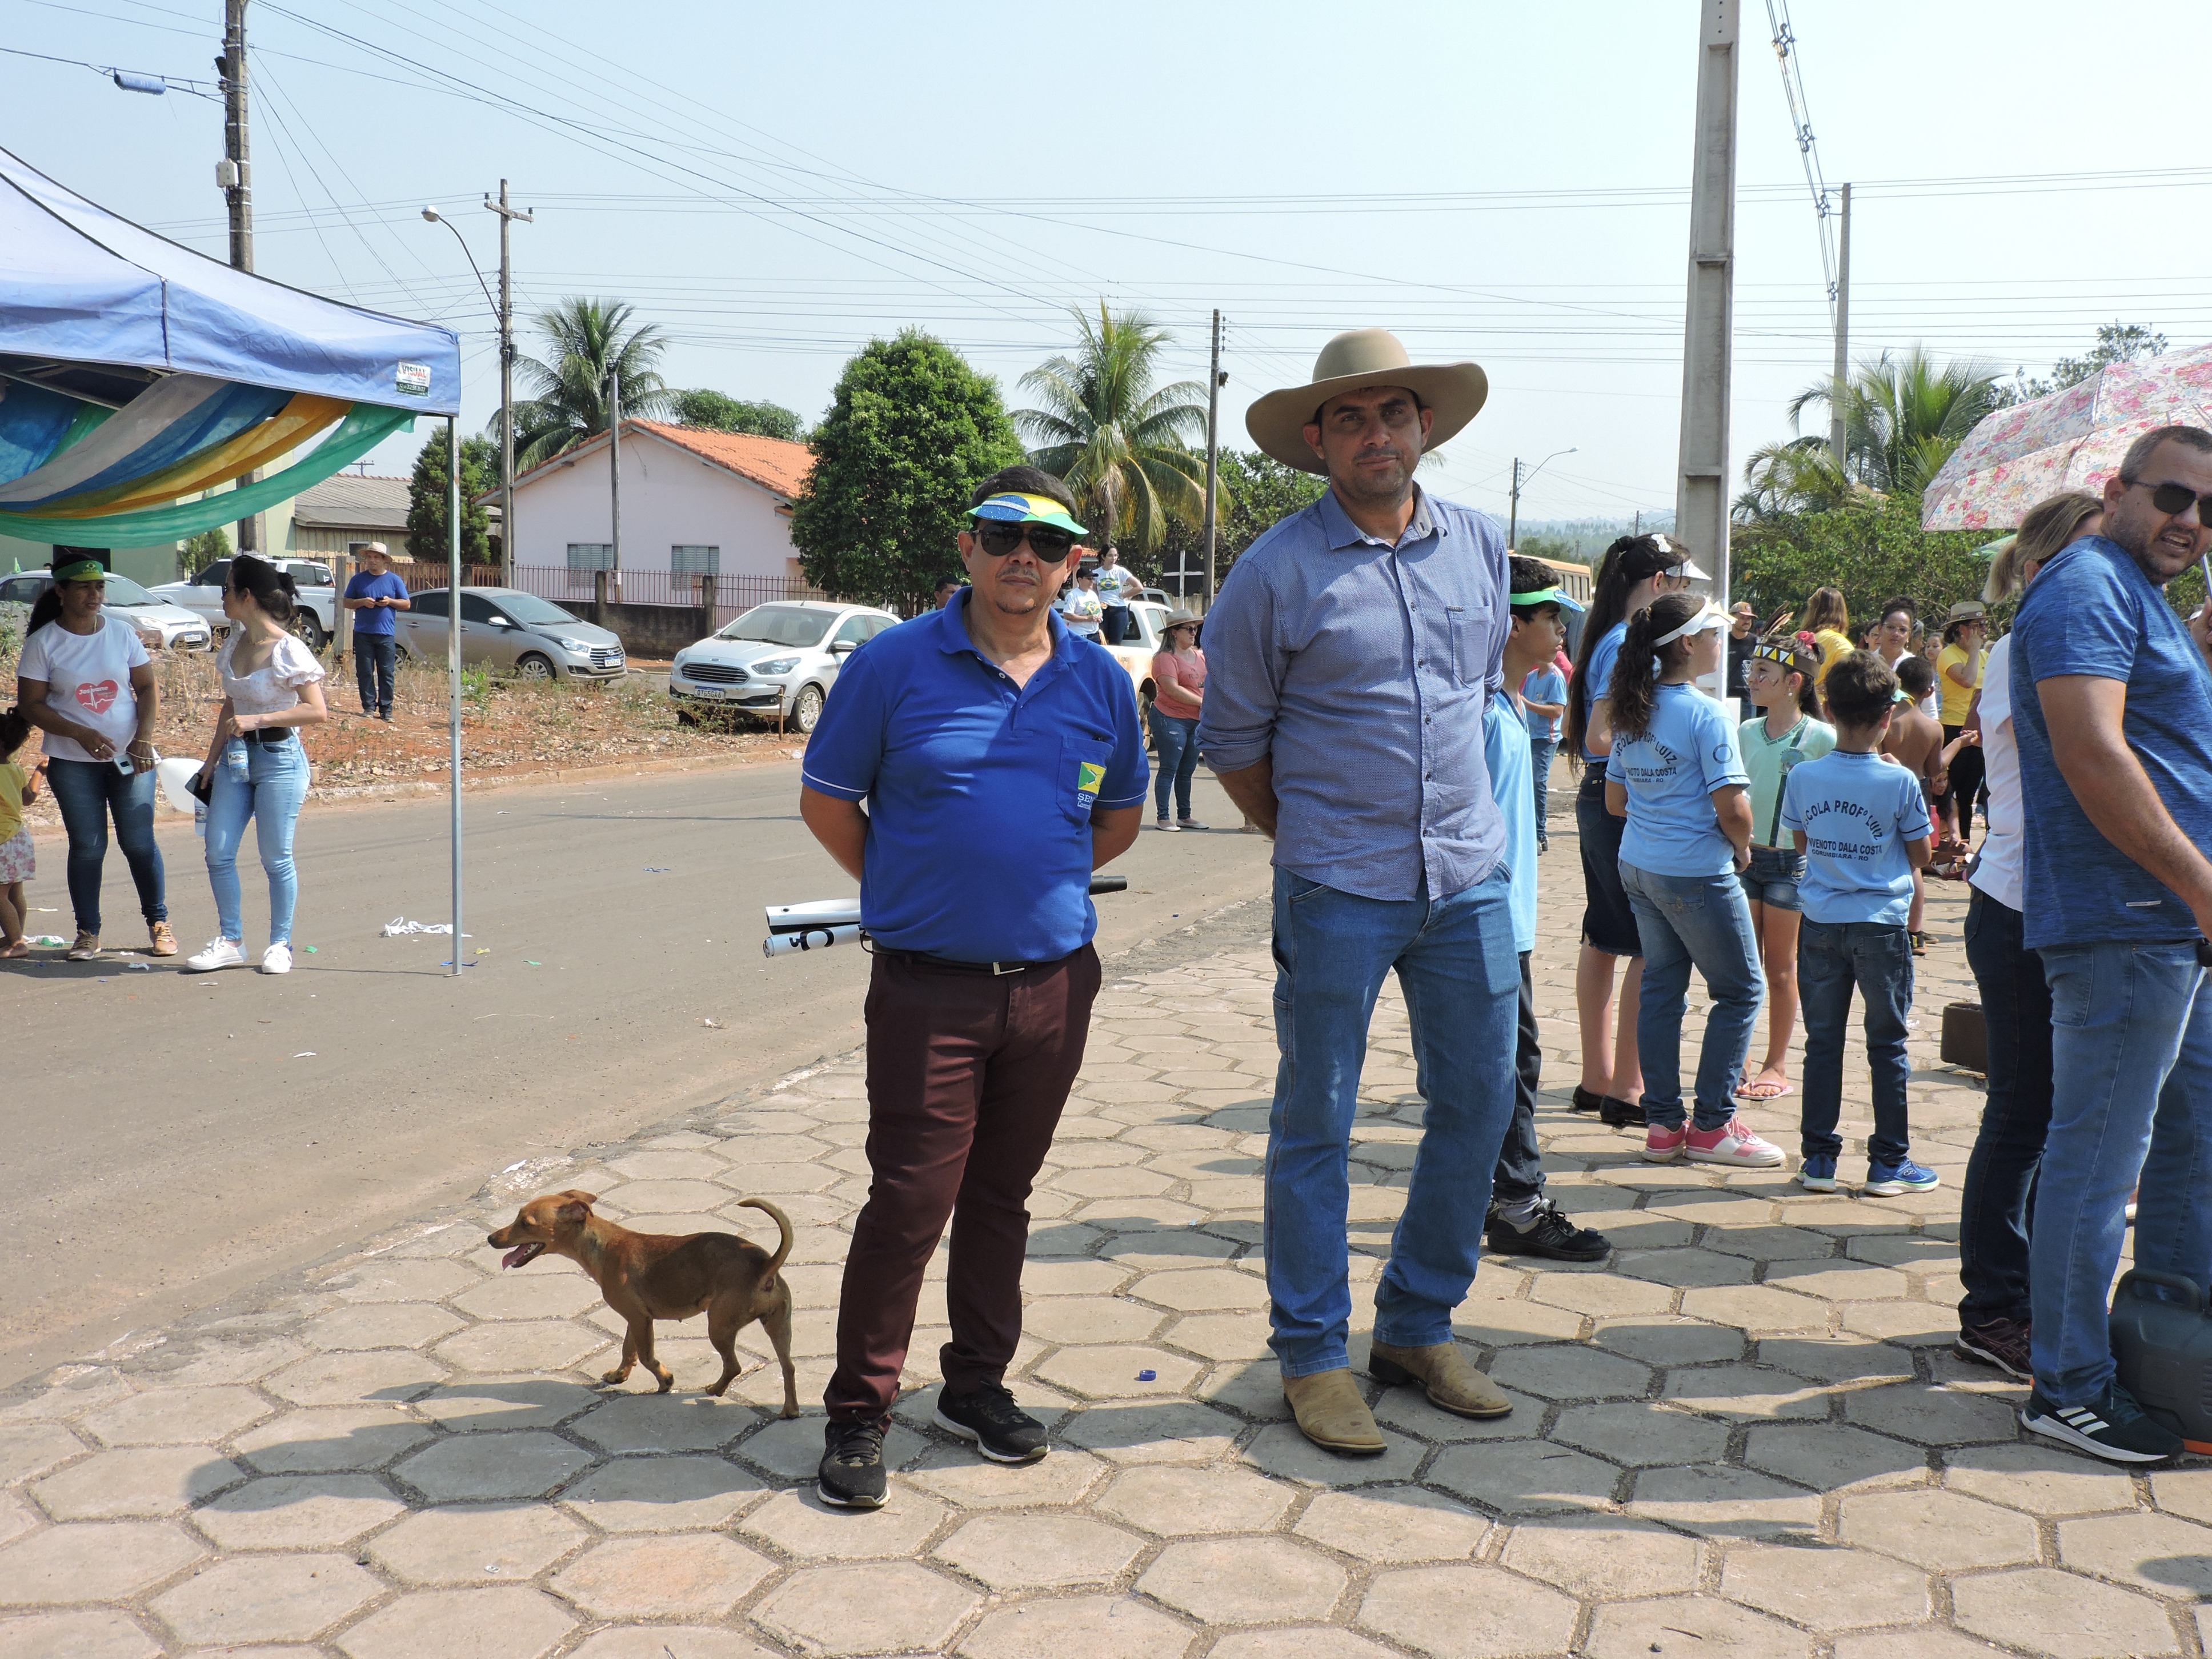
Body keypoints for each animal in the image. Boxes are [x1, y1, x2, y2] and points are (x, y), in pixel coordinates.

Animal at [488, 1185, 800, 1424]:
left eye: (525, 1223)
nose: (491, 1238)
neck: (602, 1245)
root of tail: (764, 1267)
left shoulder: (641, 1320)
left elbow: (648, 1356)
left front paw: (665, 1381)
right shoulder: (634, 1319)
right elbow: (629, 1351)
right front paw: (619, 1375)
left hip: (719, 1327)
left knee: (734, 1366)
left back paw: (715, 1390)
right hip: (779, 1327)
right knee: (789, 1368)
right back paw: (790, 1410)